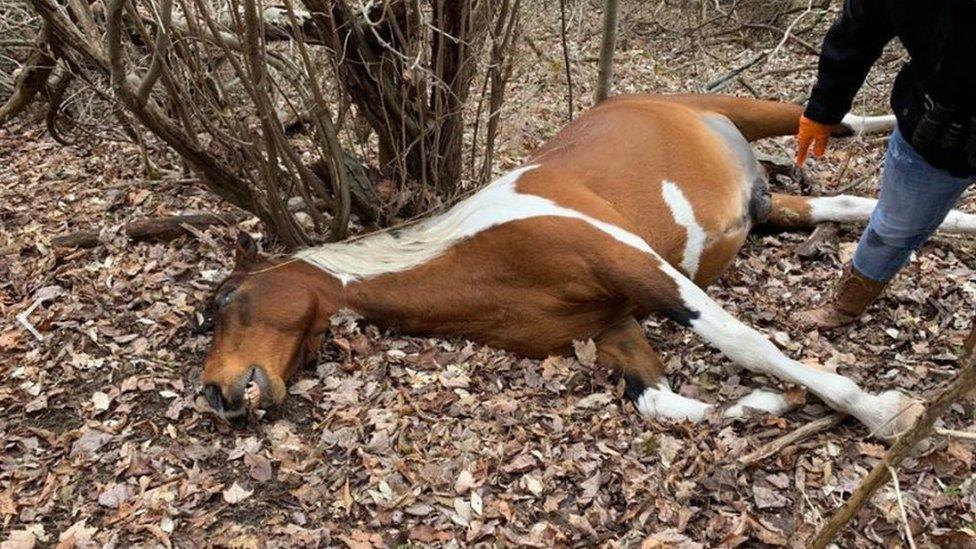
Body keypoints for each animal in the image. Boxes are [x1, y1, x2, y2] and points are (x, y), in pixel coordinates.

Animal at [198, 93, 976, 436]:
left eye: (225, 300)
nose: (217, 394)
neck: (483, 249)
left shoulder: (640, 269)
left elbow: (745, 343)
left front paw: (882, 410)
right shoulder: (611, 326)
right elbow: (662, 402)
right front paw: (767, 406)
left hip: (772, 112)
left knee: (857, 123)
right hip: (769, 207)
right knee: (850, 203)